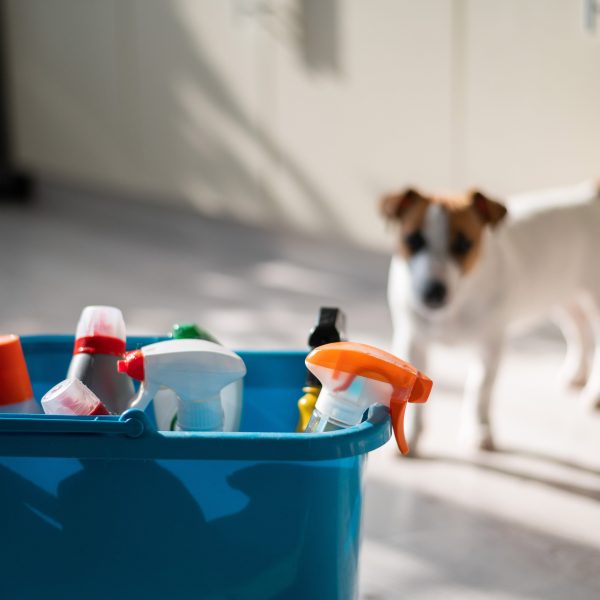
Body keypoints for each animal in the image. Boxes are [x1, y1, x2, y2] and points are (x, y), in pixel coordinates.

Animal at [382, 180, 600, 452]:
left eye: (464, 244)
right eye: (413, 240)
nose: (433, 292)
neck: (456, 304)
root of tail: (590, 194)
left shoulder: (490, 346)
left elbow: (480, 389)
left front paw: (478, 430)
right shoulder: (413, 342)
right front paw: (410, 434)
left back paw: (594, 393)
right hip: (564, 295)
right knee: (579, 330)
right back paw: (576, 374)